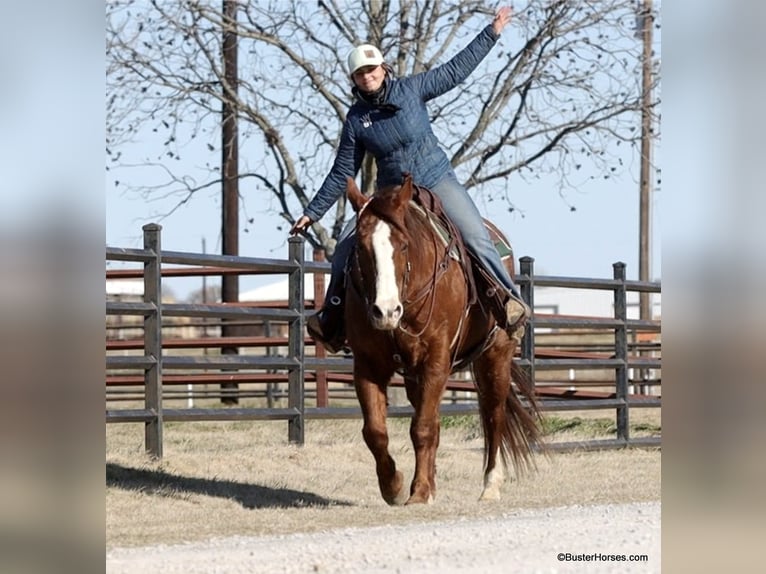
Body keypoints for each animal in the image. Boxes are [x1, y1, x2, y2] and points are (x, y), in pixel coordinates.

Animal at [343, 173, 544, 505]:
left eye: (403, 246)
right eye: (360, 247)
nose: (386, 311)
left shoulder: (436, 359)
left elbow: (423, 427)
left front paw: (420, 492)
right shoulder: (368, 364)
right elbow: (376, 431)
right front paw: (394, 486)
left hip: (495, 356)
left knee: (493, 414)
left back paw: (490, 485)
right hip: (416, 375)